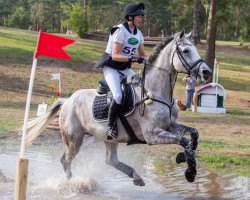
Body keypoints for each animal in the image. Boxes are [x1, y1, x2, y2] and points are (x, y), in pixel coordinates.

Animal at [25, 29, 212, 186]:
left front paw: (182, 157)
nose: (207, 72)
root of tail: (67, 100)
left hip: (108, 138)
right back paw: (72, 184)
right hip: (74, 139)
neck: (156, 91)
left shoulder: (170, 125)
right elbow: (184, 140)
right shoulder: (152, 134)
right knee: (66, 160)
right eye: (186, 51)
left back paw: (136, 177)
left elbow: (193, 135)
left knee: (110, 160)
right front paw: (190, 172)